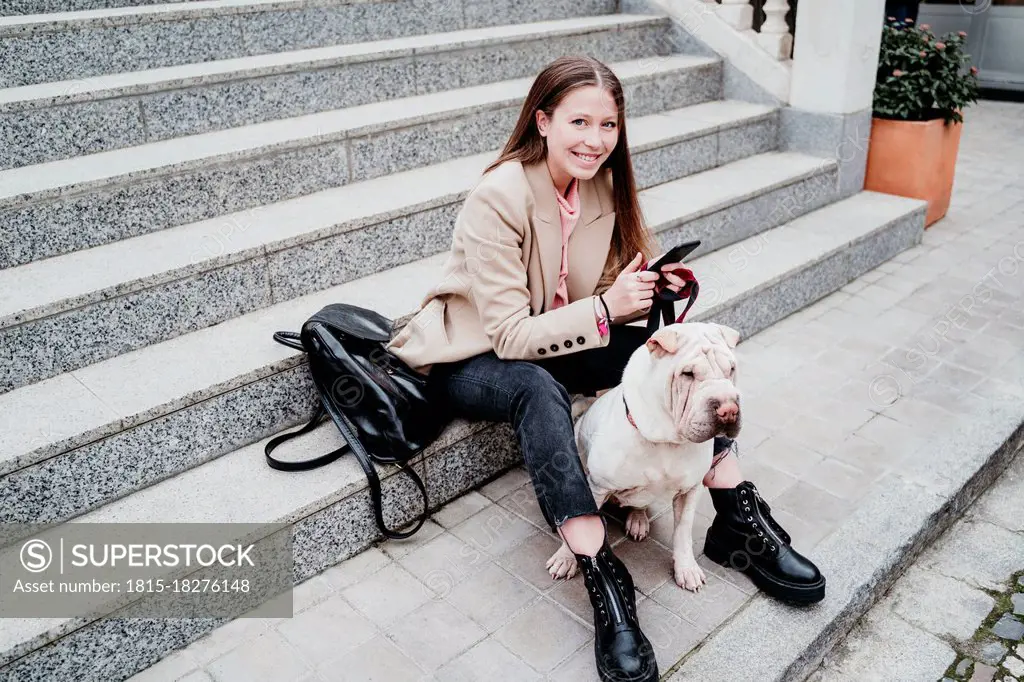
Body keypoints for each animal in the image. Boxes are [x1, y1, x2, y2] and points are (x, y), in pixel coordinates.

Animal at [548, 321, 741, 585]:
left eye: (731, 369)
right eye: (687, 374)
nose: (729, 409)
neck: (666, 440)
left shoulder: (690, 490)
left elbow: (683, 531)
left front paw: (686, 568)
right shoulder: (596, 488)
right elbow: (581, 524)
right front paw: (565, 558)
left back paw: (638, 520)